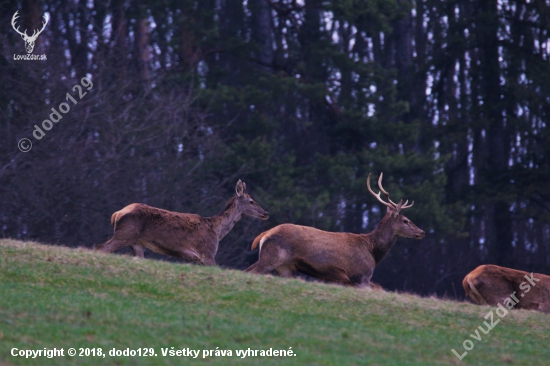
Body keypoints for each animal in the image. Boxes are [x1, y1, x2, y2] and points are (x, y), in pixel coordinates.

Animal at [96, 179, 270, 264]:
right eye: (251, 201)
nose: (266, 213)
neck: (217, 231)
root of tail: (116, 214)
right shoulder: (207, 253)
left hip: (137, 243)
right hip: (126, 233)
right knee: (101, 248)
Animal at [246, 173, 426, 288]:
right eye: (406, 220)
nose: (422, 232)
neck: (373, 251)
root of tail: (264, 235)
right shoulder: (360, 276)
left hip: (285, 267)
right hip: (273, 256)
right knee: (252, 271)